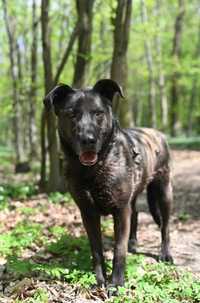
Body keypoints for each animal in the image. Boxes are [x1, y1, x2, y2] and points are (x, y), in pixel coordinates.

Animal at [44, 79, 173, 290]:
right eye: (71, 114)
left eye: (98, 113)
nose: (88, 140)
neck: (93, 170)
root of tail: (156, 133)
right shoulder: (88, 213)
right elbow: (96, 251)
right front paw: (100, 281)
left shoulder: (120, 210)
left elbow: (118, 251)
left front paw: (116, 284)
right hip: (134, 195)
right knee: (136, 213)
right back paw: (133, 243)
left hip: (164, 192)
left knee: (165, 226)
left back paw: (165, 253)